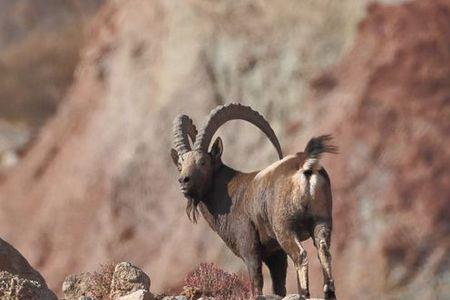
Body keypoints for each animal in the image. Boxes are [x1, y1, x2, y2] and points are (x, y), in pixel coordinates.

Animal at [171, 103, 336, 300]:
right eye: (180, 165)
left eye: (203, 162)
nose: (183, 181)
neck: (229, 194)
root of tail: (306, 166)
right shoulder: (275, 253)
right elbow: (279, 284)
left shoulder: (249, 246)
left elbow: (256, 280)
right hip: (321, 221)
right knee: (324, 251)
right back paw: (329, 293)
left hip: (285, 228)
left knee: (300, 256)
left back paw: (304, 294)